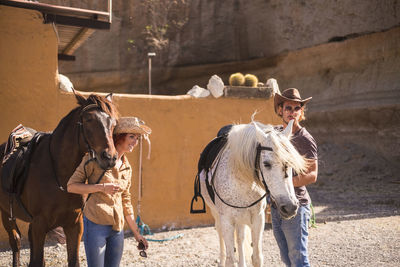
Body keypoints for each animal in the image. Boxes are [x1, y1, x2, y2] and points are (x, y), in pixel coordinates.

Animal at [0, 91, 119, 266]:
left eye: (113, 123)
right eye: (88, 119)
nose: (109, 157)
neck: (60, 175)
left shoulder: (74, 224)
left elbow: (72, 260)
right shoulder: (39, 224)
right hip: (6, 212)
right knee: (15, 241)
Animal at [199, 121, 306, 267]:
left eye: (290, 163)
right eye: (266, 164)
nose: (290, 207)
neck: (241, 180)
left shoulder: (258, 218)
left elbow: (256, 257)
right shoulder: (227, 220)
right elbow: (230, 260)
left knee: (240, 238)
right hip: (216, 214)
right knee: (220, 234)